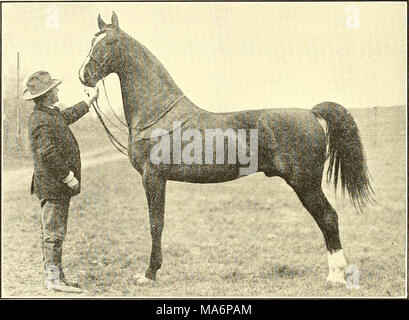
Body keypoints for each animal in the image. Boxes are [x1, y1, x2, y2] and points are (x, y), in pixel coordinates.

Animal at [78, 13, 372, 288]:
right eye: (92, 41)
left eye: (110, 42)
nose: (84, 75)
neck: (158, 114)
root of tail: (311, 113)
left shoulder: (153, 177)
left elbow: (155, 223)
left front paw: (149, 274)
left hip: (306, 183)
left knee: (328, 217)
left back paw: (335, 277)